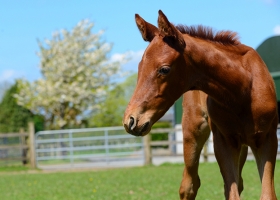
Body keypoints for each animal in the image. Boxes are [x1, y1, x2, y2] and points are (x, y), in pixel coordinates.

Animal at [123, 10, 278, 199]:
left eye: (164, 69)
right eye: (139, 67)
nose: (131, 120)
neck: (242, 91)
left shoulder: (267, 139)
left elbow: (266, 194)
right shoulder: (223, 142)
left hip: (242, 145)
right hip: (193, 132)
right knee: (189, 185)